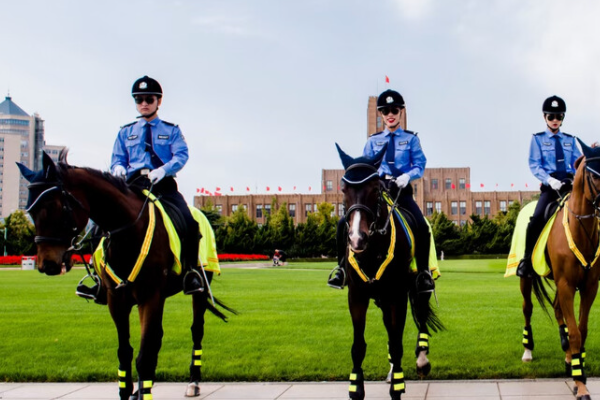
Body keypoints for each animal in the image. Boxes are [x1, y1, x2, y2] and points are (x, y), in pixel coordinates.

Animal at [16, 151, 232, 400]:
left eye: (58, 208)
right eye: (30, 211)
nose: (47, 264)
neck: (127, 231)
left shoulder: (151, 296)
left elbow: (144, 353)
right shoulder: (116, 299)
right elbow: (126, 351)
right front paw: (128, 390)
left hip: (199, 286)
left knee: (196, 330)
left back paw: (193, 381)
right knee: (155, 338)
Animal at [336, 145, 442, 400]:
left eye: (375, 189)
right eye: (344, 189)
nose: (357, 238)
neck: (373, 250)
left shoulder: (397, 296)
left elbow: (396, 343)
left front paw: (397, 386)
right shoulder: (357, 296)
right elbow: (359, 345)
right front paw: (356, 388)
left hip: (419, 286)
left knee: (421, 316)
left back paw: (421, 359)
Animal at [520, 138, 600, 400]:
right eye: (594, 174)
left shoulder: (588, 287)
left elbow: (581, 330)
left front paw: (576, 366)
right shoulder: (566, 284)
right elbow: (574, 332)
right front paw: (580, 383)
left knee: (557, 309)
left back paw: (567, 355)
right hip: (526, 279)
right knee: (527, 308)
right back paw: (528, 351)